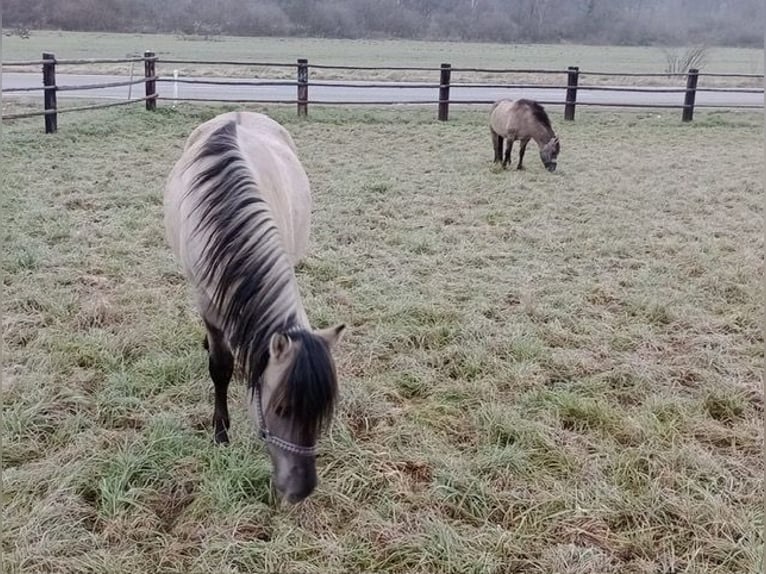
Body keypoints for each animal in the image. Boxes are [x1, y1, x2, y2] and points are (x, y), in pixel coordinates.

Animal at [164, 111, 345, 504]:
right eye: (280, 408)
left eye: (323, 413)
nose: (301, 490)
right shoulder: (207, 305)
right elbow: (220, 367)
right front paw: (221, 432)